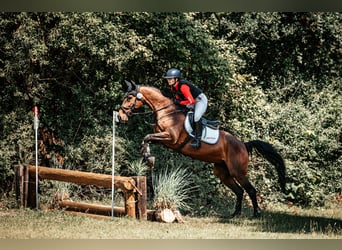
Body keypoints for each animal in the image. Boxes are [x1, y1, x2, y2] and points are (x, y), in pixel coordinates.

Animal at [118, 81, 286, 218]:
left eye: (129, 98)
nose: (120, 117)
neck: (166, 112)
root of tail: (243, 145)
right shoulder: (163, 139)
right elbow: (147, 138)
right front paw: (147, 156)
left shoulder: (170, 138)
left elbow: (147, 137)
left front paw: (148, 157)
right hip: (222, 172)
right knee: (239, 191)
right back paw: (234, 214)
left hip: (237, 171)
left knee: (250, 190)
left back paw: (256, 214)